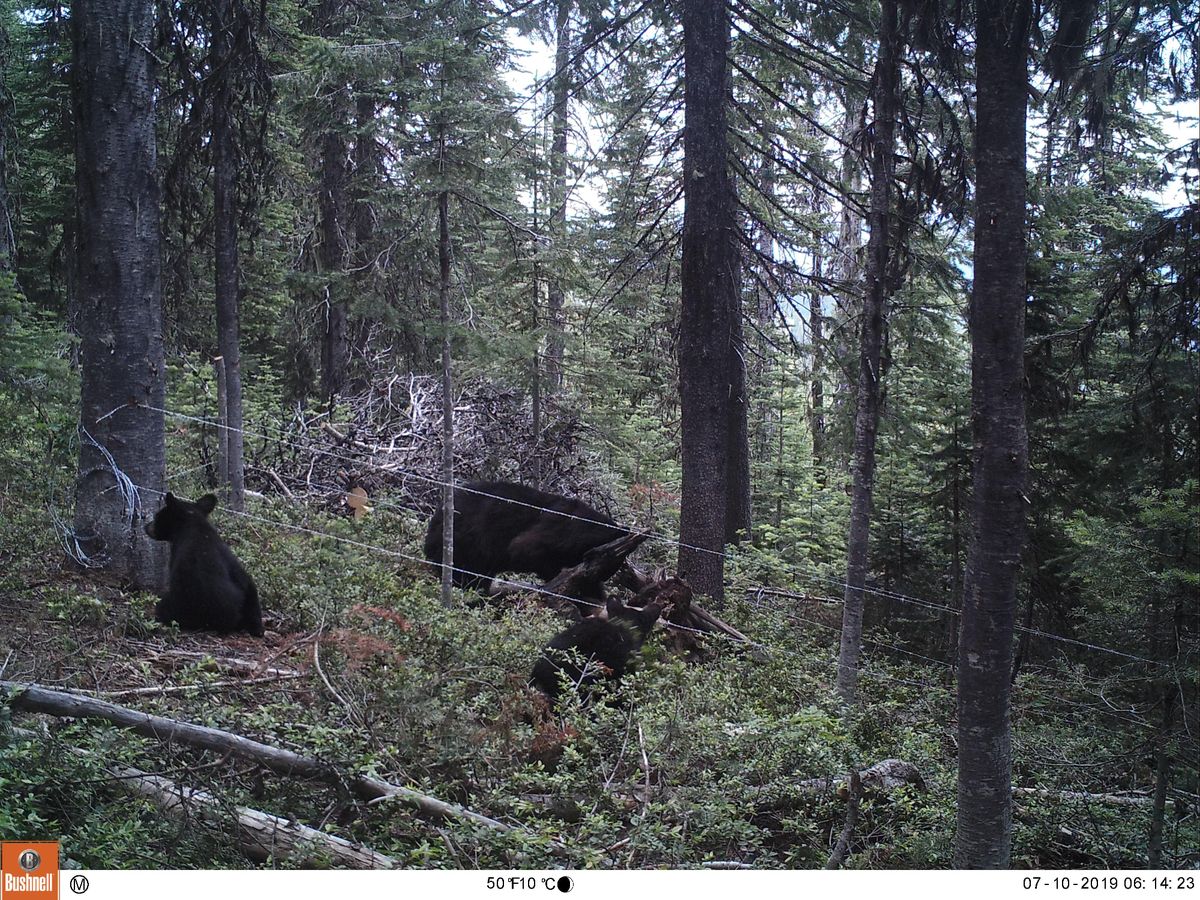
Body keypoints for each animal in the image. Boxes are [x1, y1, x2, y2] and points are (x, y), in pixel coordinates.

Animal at [424, 482, 628, 595]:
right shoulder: (555, 529)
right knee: (467, 576)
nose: (606, 577)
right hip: (465, 545)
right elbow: (526, 550)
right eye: (610, 563)